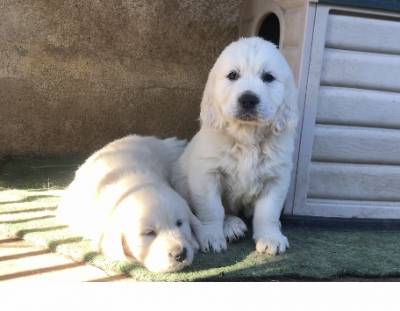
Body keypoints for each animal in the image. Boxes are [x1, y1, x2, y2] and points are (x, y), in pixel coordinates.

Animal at [173, 36, 298, 256]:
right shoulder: (207, 174)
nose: (248, 99)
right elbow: (212, 209)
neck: (246, 136)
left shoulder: (276, 178)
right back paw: (232, 226)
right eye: (233, 75)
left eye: (268, 77)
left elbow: (268, 212)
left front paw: (270, 237)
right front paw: (211, 236)